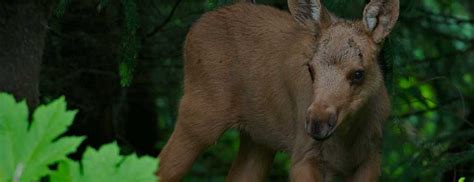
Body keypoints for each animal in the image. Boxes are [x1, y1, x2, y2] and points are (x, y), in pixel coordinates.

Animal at [157, 0, 398, 181]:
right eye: (310, 68)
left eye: (358, 73)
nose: (317, 122)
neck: (347, 142)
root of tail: (192, 31)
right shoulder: (303, 155)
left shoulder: (371, 159)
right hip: (199, 113)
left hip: (257, 138)